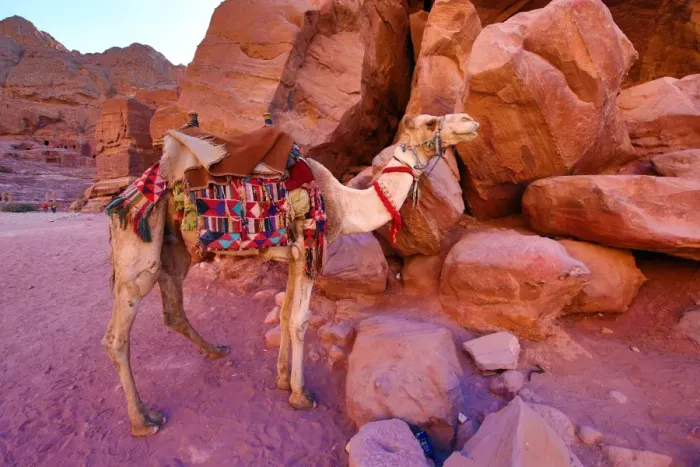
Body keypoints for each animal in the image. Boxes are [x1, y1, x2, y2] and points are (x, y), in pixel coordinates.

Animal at [103, 113, 479, 436]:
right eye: (430, 121)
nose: (470, 121)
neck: (343, 204)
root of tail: (126, 197)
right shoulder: (310, 250)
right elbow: (300, 320)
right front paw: (301, 394)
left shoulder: (295, 257)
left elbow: (285, 315)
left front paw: (283, 379)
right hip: (139, 248)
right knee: (116, 336)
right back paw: (144, 420)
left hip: (174, 246)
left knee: (173, 309)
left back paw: (215, 351)